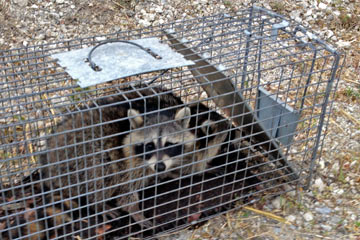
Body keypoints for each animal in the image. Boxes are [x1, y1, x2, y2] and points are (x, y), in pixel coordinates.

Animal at [40, 85, 194, 228]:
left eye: (169, 144)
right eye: (150, 146)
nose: (160, 167)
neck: (158, 108)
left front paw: (167, 172)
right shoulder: (124, 159)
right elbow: (125, 187)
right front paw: (134, 209)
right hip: (79, 155)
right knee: (100, 173)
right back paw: (98, 204)